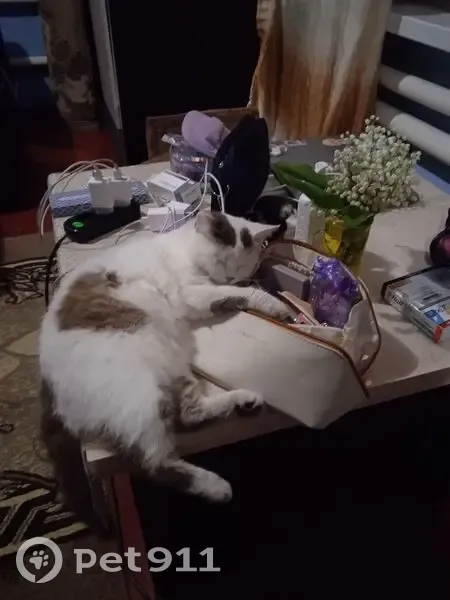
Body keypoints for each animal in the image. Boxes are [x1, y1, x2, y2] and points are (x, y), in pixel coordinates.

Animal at [39, 210, 293, 503]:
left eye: (242, 266)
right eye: (221, 260)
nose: (230, 277)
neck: (183, 251)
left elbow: (239, 293)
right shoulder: (195, 294)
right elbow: (247, 294)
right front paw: (278, 307)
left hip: (174, 370)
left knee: (189, 413)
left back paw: (245, 400)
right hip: (143, 395)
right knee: (156, 460)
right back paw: (217, 487)